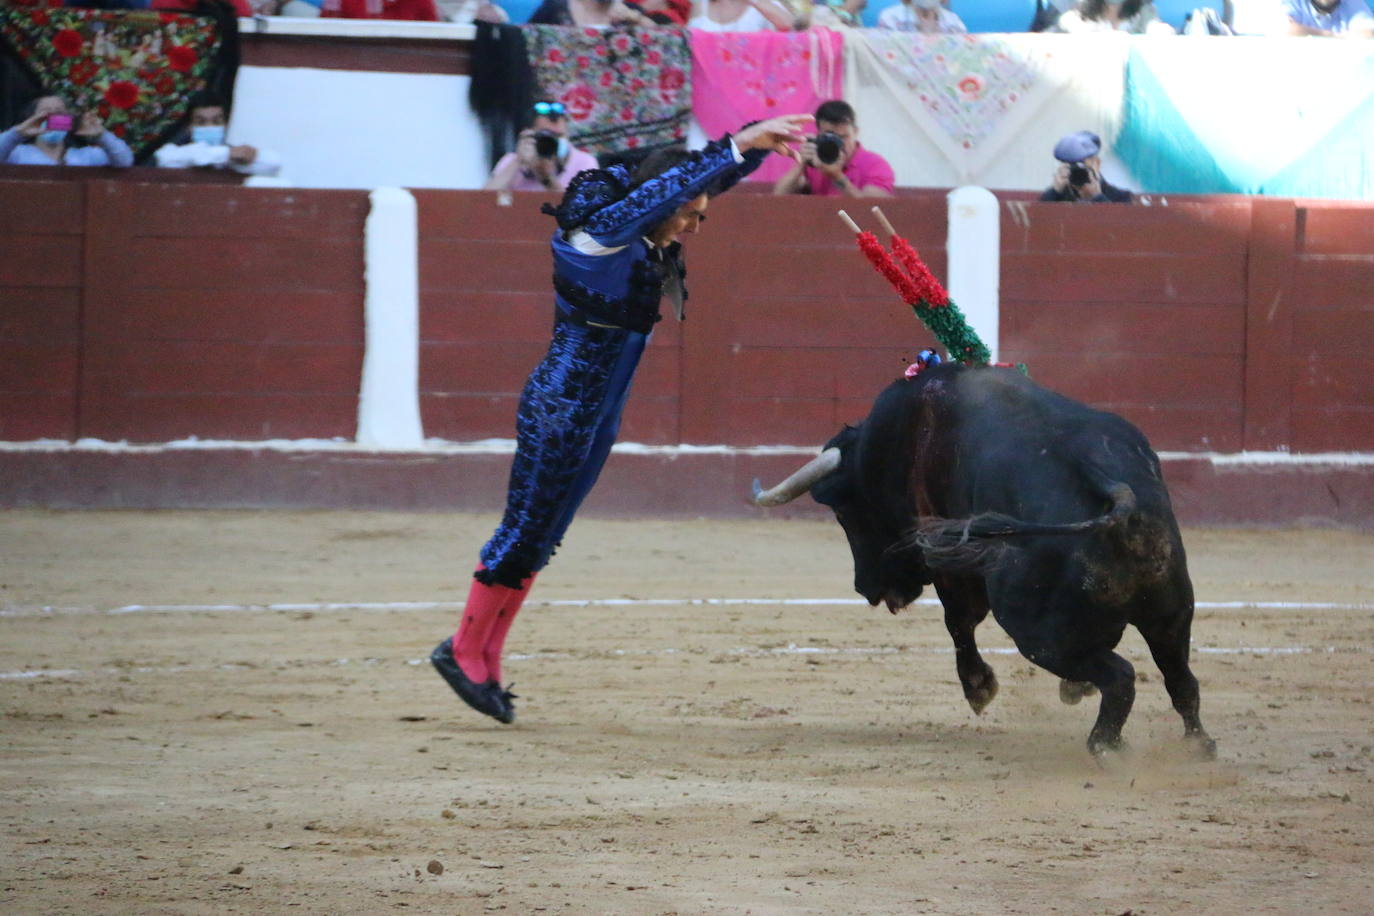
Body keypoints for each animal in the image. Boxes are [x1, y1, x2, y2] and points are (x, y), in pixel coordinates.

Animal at [758, 365, 1220, 758]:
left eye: (843, 513)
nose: (865, 587)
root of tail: (1116, 492)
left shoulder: (950, 564)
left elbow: (959, 622)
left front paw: (979, 689)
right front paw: (1074, 689)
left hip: (1038, 633)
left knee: (1122, 677)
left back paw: (1106, 747)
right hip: (1171, 612)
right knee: (1182, 680)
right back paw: (1197, 746)